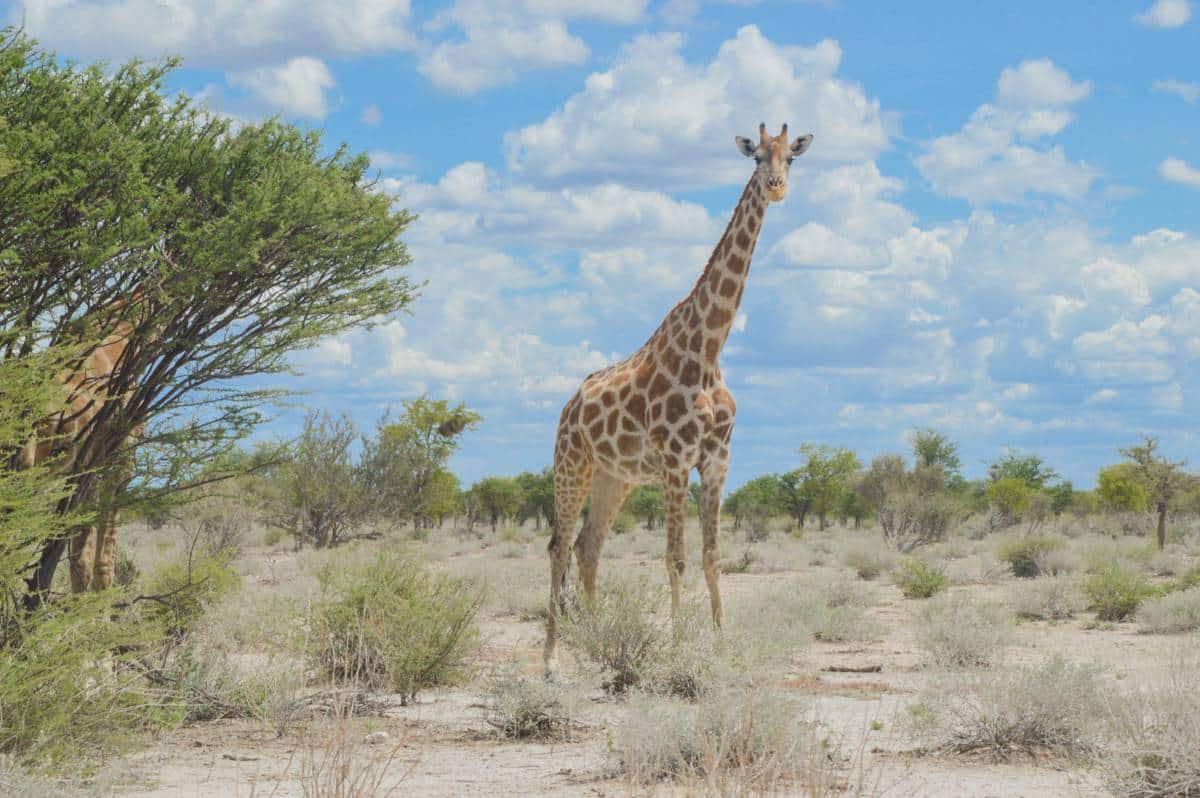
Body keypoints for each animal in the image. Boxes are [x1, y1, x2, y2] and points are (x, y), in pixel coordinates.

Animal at [547, 123, 816, 672]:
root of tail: (567, 408)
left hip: (614, 478)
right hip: (571, 465)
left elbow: (713, 556)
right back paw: (551, 659)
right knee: (560, 547)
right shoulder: (675, 461)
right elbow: (675, 558)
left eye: (791, 159)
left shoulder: (716, 460)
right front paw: (675, 649)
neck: (708, 348)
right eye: (756, 158)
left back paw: (599, 640)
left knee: (588, 547)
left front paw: (720, 642)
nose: (776, 186)